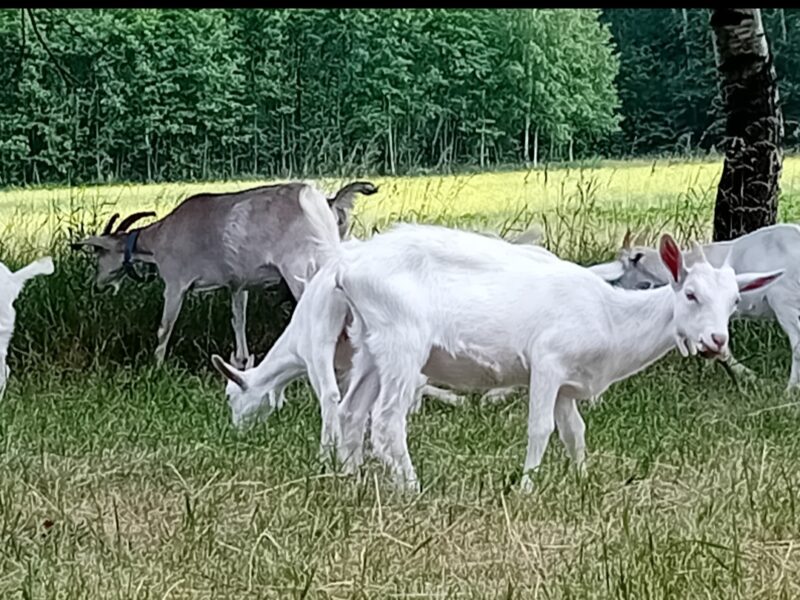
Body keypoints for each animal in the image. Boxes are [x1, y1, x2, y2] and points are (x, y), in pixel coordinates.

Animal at [70, 180, 376, 372]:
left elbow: (165, 326)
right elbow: (237, 318)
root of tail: (322, 202)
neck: (160, 237)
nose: (97, 285)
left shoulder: (175, 282)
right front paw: (240, 361)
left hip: (300, 269)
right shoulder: (238, 282)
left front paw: (155, 366)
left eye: (99, 253)